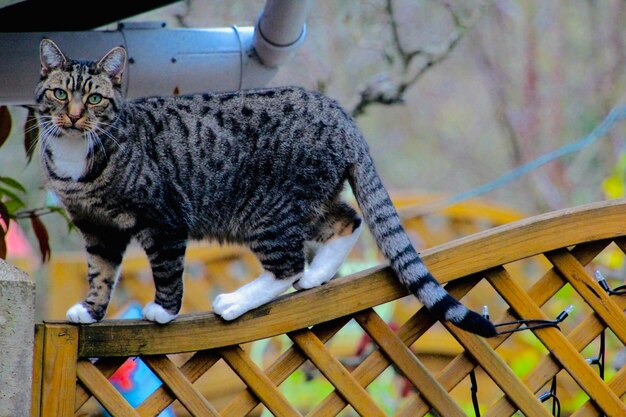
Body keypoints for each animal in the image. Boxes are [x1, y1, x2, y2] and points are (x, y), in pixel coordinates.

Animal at [35, 38, 498, 338]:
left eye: (94, 99)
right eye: (58, 94)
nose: (73, 116)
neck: (78, 155)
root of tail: (340, 113)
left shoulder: (163, 221)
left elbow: (165, 270)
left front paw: (163, 312)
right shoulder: (96, 227)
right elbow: (100, 272)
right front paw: (90, 311)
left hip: (266, 212)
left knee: (288, 263)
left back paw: (236, 301)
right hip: (305, 205)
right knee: (347, 220)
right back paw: (317, 277)